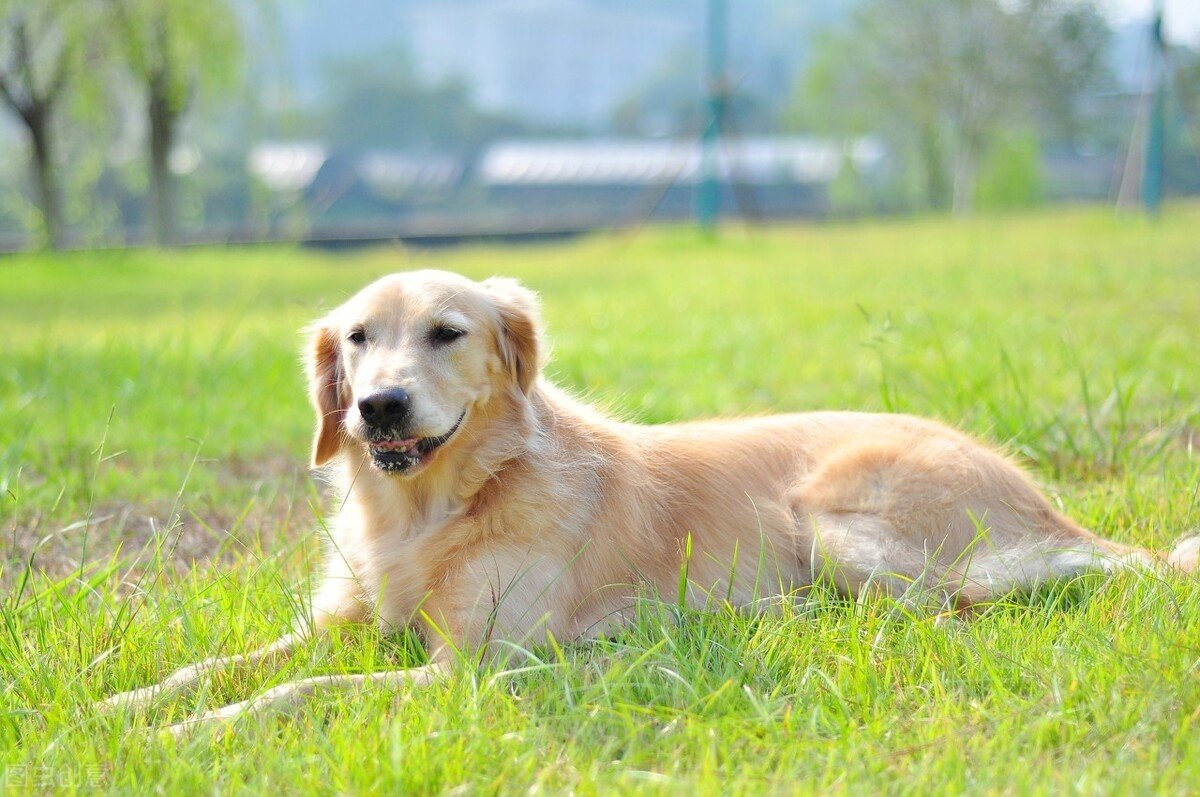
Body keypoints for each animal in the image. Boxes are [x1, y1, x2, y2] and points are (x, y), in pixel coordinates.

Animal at [96, 271, 1200, 729]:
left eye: (448, 332)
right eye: (360, 339)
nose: (378, 406)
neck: (433, 510)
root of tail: (1050, 506)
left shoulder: (470, 668)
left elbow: (297, 691)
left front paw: (190, 733)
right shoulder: (346, 622)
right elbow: (220, 664)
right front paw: (120, 702)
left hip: (832, 516)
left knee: (942, 612)